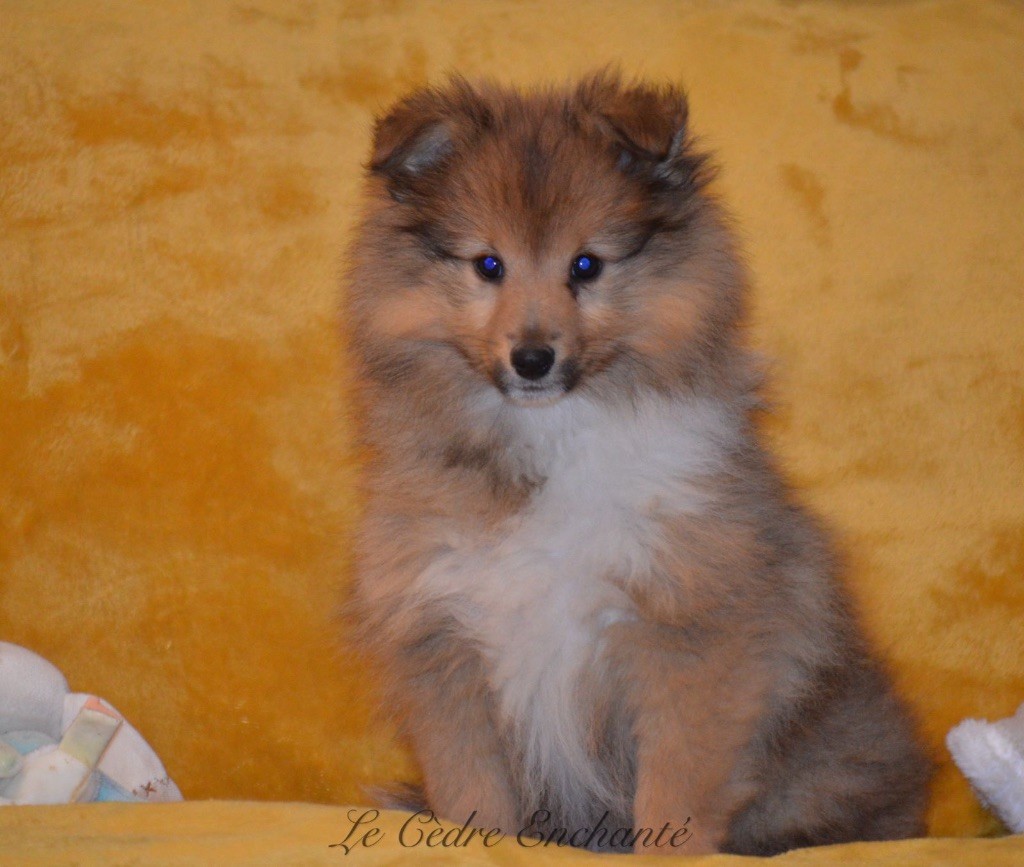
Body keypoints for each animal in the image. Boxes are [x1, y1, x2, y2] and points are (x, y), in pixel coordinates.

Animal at [342, 72, 929, 855]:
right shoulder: (442, 633)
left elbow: (678, 780)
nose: (533, 358)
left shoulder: (692, 627)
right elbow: (472, 787)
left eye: (586, 265)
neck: (552, 437)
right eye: (488, 265)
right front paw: (480, 842)